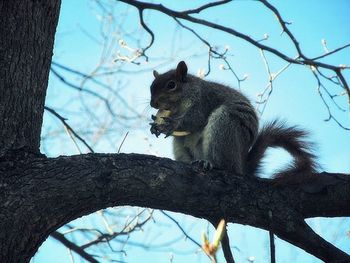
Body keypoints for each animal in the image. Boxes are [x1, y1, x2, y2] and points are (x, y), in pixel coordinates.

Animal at [149, 60, 318, 179]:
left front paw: (172, 124)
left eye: (171, 85)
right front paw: (155, 126)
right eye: (151, 87)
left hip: (224, 125)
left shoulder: (204, 100)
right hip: (181, 146)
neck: (178, 105)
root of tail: (241, 166)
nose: (152, 104)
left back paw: (208, 163)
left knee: (226, 166)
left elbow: (194, 119)